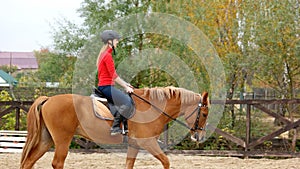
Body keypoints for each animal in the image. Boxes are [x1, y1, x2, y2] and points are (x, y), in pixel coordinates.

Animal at [20, 86, 209, 168]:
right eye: (205, 114)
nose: (198, 137)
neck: (152, 107)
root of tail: (48, 99)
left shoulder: (134, 145)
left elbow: (129, 165)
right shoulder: (148, 142)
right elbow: (166, 161)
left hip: (47, 140)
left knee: (29, 161)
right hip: (62, 140)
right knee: (57, 163)